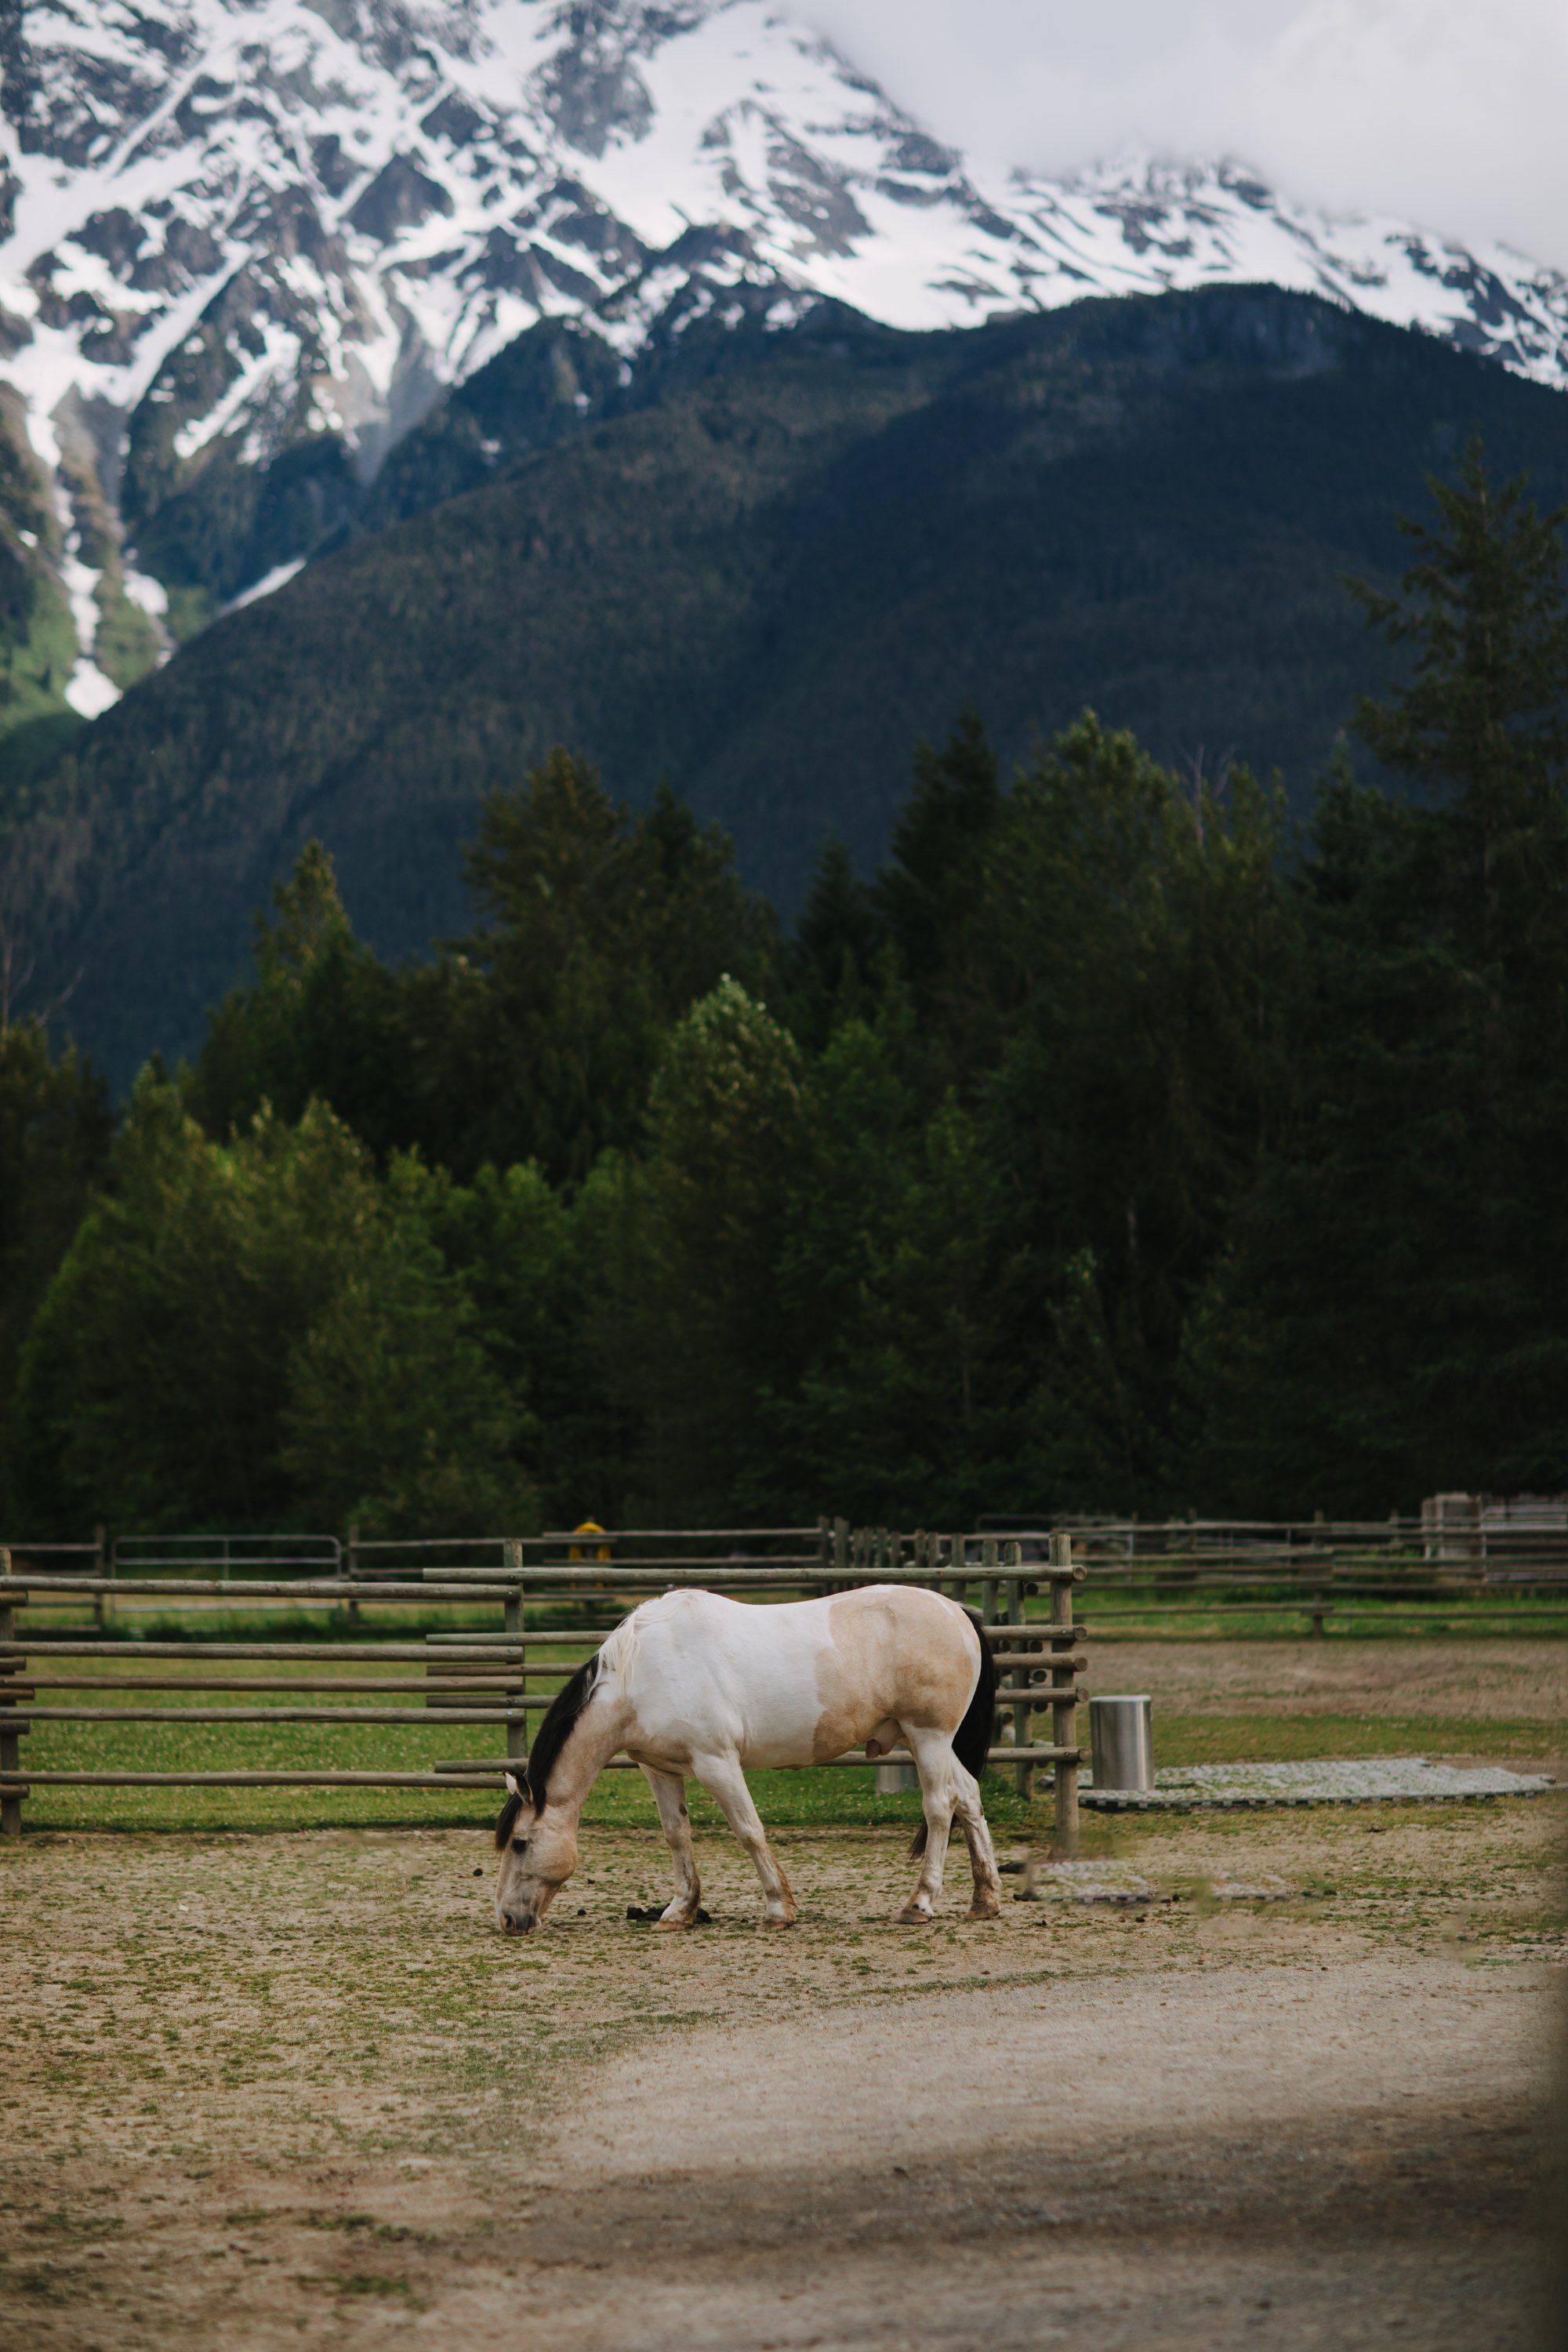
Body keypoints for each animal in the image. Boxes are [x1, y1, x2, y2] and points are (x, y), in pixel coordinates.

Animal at [493, 1584, 1002, 1933]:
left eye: (519, 1843)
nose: (508, 1920)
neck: (641, 1673)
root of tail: (957, 1612)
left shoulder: (716, 1763)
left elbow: (749, 1830)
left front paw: (778, 1909)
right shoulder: (659, 1768)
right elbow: (677, 1836)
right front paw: (680, 1911)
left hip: (928, 1738)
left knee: (940, 1807)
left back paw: (920, 1904)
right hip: (932, 1743)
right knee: (969, 1798)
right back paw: (985, 1900)